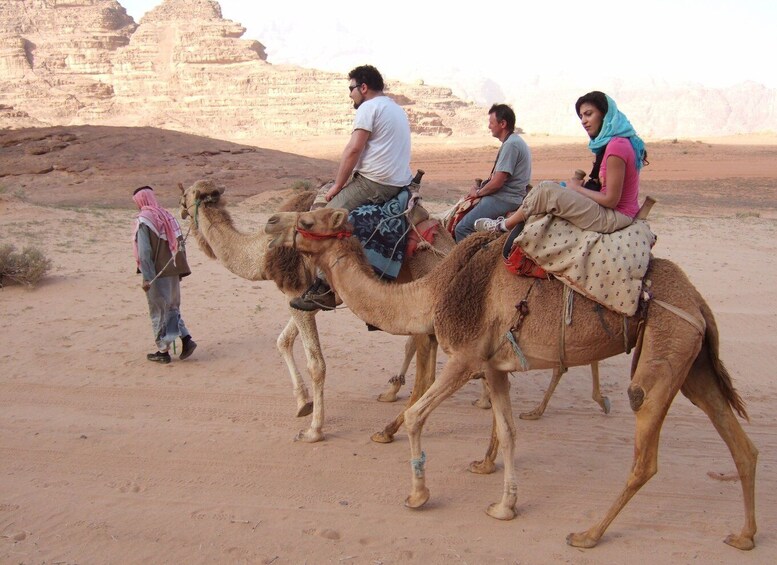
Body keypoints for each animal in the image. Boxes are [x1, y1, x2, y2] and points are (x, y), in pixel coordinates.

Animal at [266, 205, 756, 548]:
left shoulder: (464, 358)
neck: (433, 290)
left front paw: (418, 495)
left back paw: (588, 535)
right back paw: (744, 536)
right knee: (741, 445)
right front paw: (505, 504)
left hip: (664, 351)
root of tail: (697, 300)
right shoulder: (493, 365)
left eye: (307, 218)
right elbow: (508, 430)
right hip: (692, 362)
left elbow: (417, 415)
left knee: (645, 455)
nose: (271, 222)